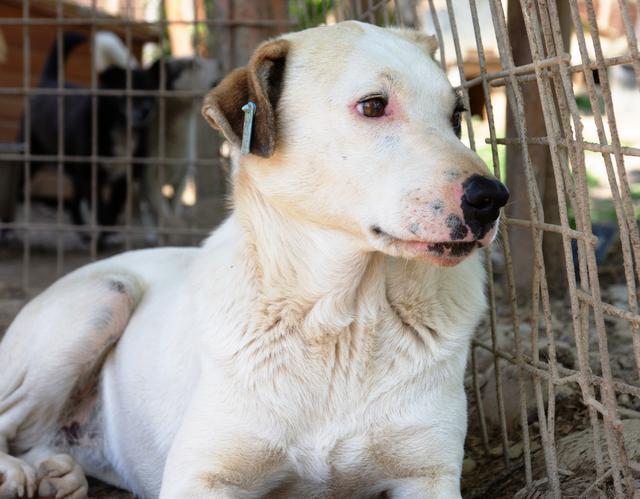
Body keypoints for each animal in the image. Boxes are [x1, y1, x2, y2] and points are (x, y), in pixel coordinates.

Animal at [1, 21, 510, 498]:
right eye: (372, 105)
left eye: (457, 116)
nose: (492, 198)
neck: (344, 318)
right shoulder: (199, 477)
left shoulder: (429, 475)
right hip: (103, 297)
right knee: (12, 423)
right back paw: (19, 473)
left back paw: (57, 473)